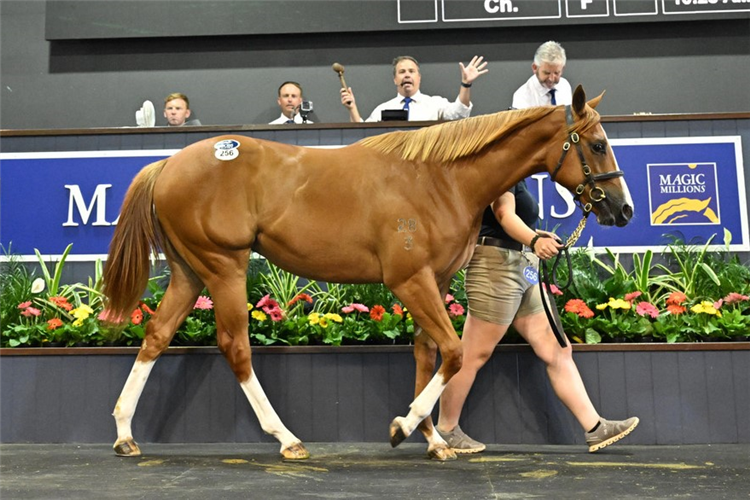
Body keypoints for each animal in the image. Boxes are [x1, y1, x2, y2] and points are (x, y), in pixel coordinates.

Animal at [103, 86, 636, 460]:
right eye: (597, 144)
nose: (624, 209)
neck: (441, 178)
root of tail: (168, 164)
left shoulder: (433, 281)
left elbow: (428, 356)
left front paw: (434, 440)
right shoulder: (410, 281)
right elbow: (455, 352)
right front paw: (404, 427)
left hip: (190, 272)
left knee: (155, 335)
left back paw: (125, 433)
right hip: (224, 267)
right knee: (235, 348)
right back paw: (287, 439)